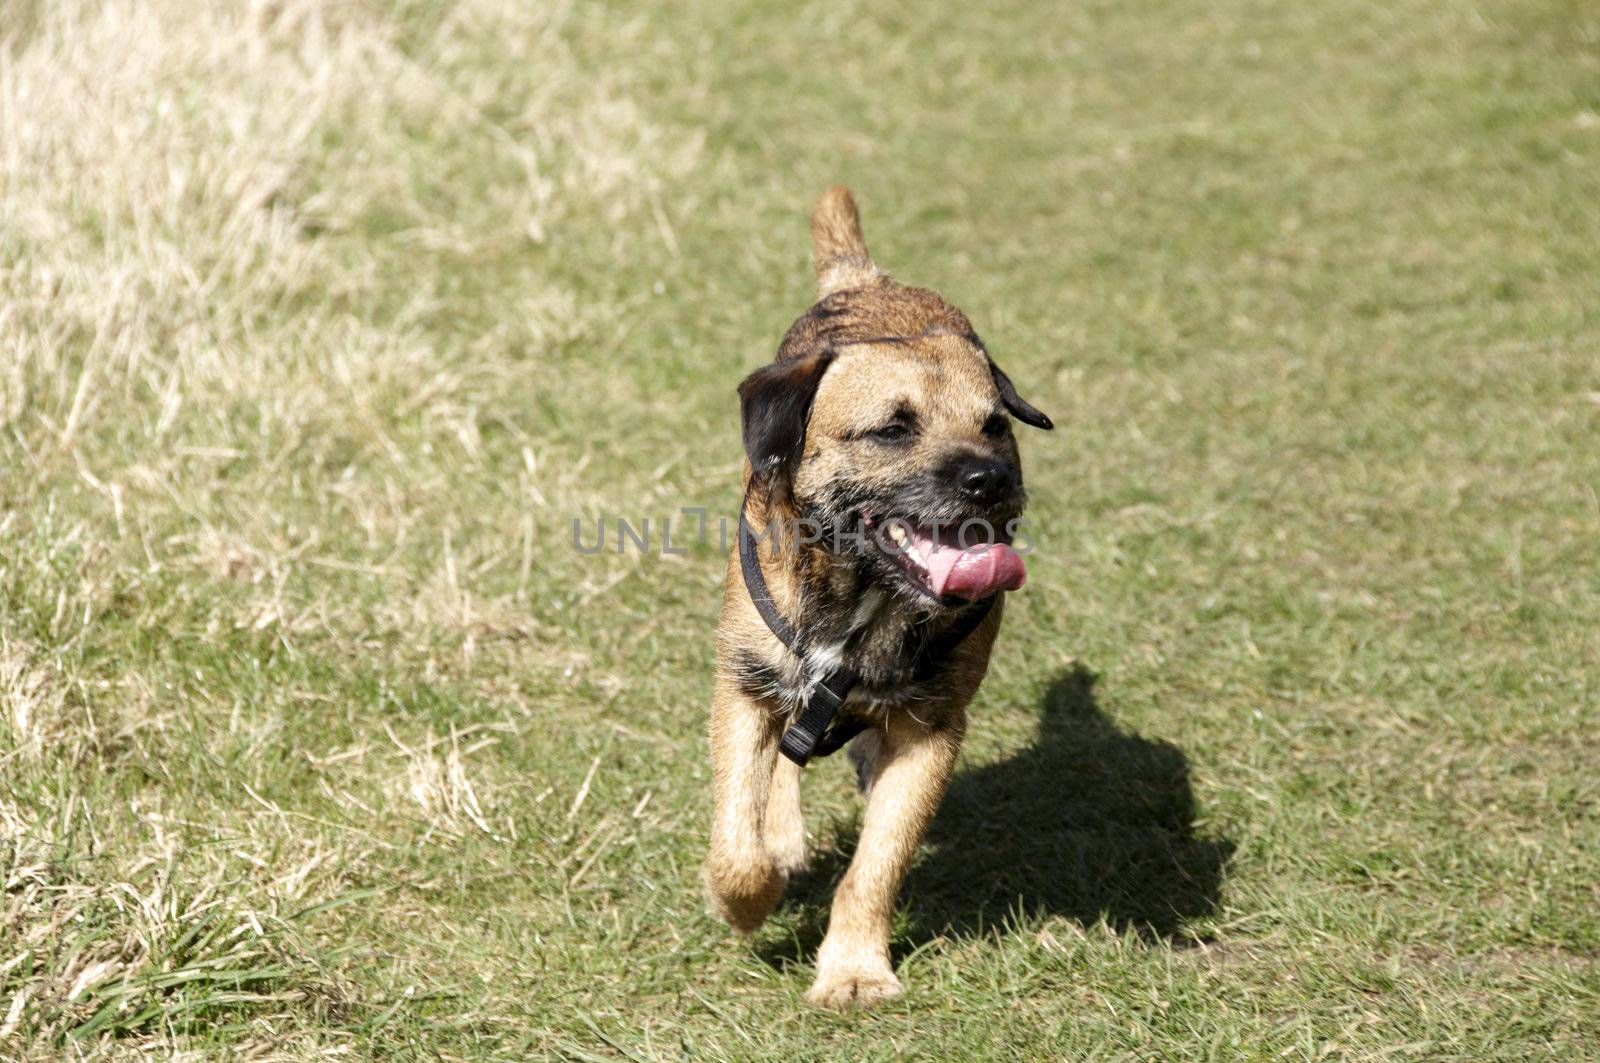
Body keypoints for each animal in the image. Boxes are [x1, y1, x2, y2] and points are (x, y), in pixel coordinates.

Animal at [704, 186, 1049, 1011]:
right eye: (893, 428)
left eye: (996, 425)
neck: (866, 594)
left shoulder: (931, 731)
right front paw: (746, 898)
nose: (988, 477)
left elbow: (877, 864)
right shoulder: (742, 686)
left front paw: (855, 969)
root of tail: (867, 282)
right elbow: (736, 833)